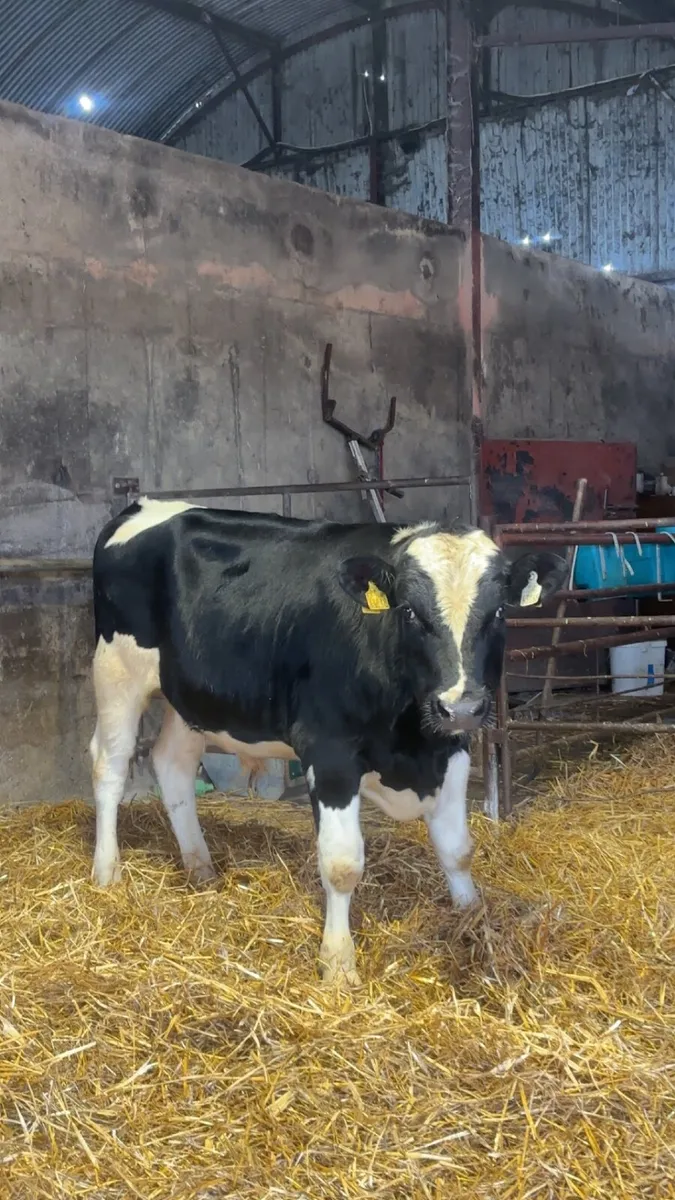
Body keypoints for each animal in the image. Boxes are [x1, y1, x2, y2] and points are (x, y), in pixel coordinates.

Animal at [89, 499, 564, 984]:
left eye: (498, 612)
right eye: (411, 612)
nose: (462, 706)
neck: (410, 743)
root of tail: (145, 505)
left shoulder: (451, 750)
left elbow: (458, 851)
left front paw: (472, 922)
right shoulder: (330, 752)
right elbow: (341, 864)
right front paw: (338, 964)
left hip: (191, 698)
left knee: (174, 764)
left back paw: (200, 867)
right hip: (117, 670)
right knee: (109, 766)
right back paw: (107, 872)